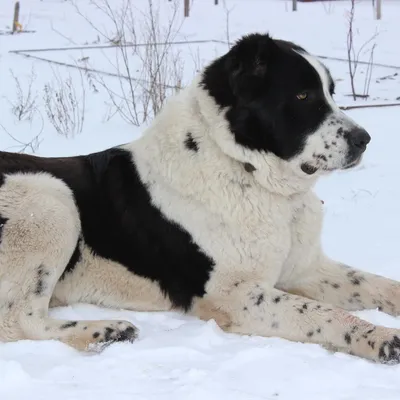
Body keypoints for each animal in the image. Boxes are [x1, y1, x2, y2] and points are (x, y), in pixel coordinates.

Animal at [0, 32, 400, 364]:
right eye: (303, 96)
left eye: (331, 92)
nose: (364, 139)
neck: (245, 168)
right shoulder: (234, 295)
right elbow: (321, 313)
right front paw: (381, 337)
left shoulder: (306, 268)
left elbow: (381, 285)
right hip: (50, 200)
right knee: (18, 320)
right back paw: (106, 330)